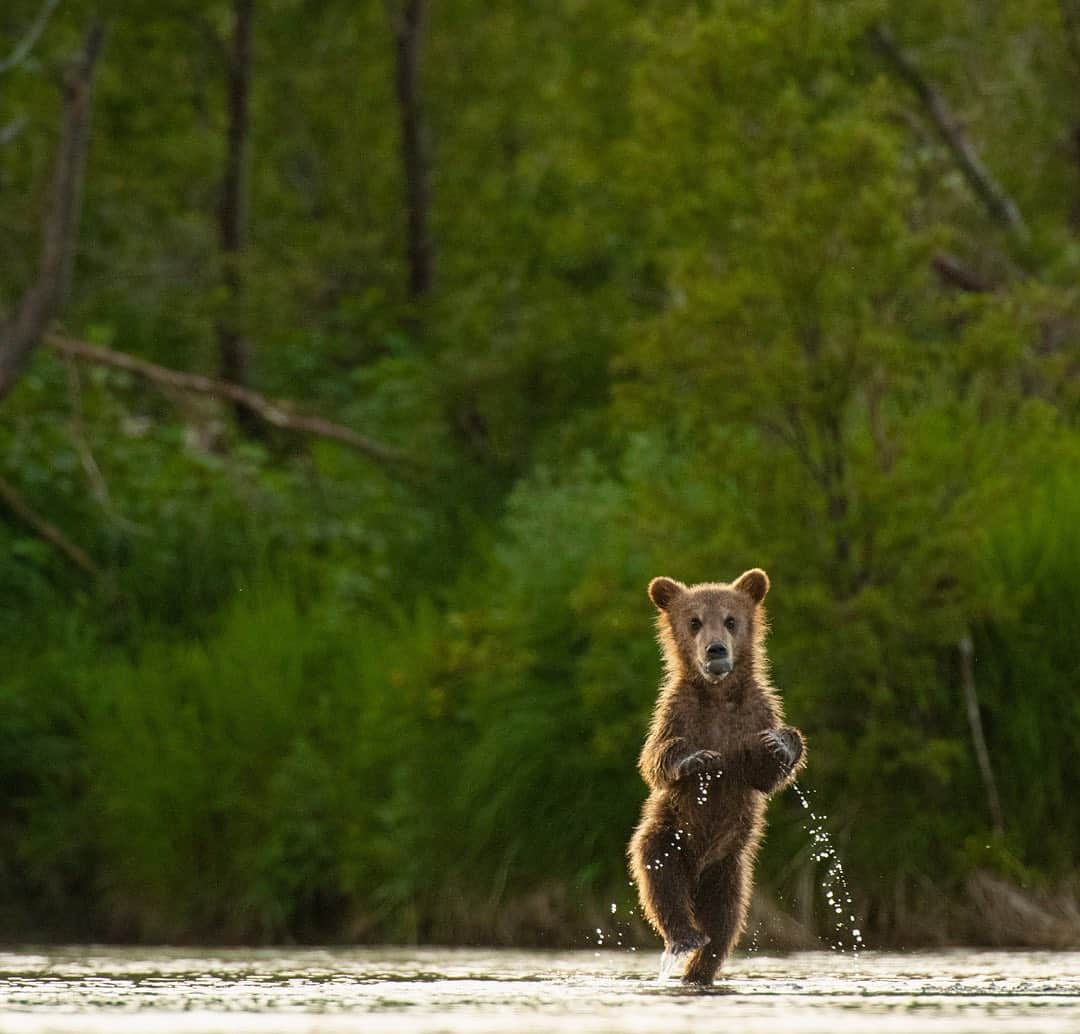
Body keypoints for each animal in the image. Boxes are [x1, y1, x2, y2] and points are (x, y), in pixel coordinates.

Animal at [626, 574, 803, 985]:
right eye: (694, 622)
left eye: (731, 620)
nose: (716, 650)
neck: (719, 695)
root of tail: (698, 873)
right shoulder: (677, 712)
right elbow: (655, 759)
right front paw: (696, 759)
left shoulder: (757, 712)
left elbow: (764, 776)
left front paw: (783, 744)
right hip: (668, 835)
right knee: (660, 880)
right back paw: (685, 937)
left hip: (730, 868)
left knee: (726, 918)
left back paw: (700, 964)